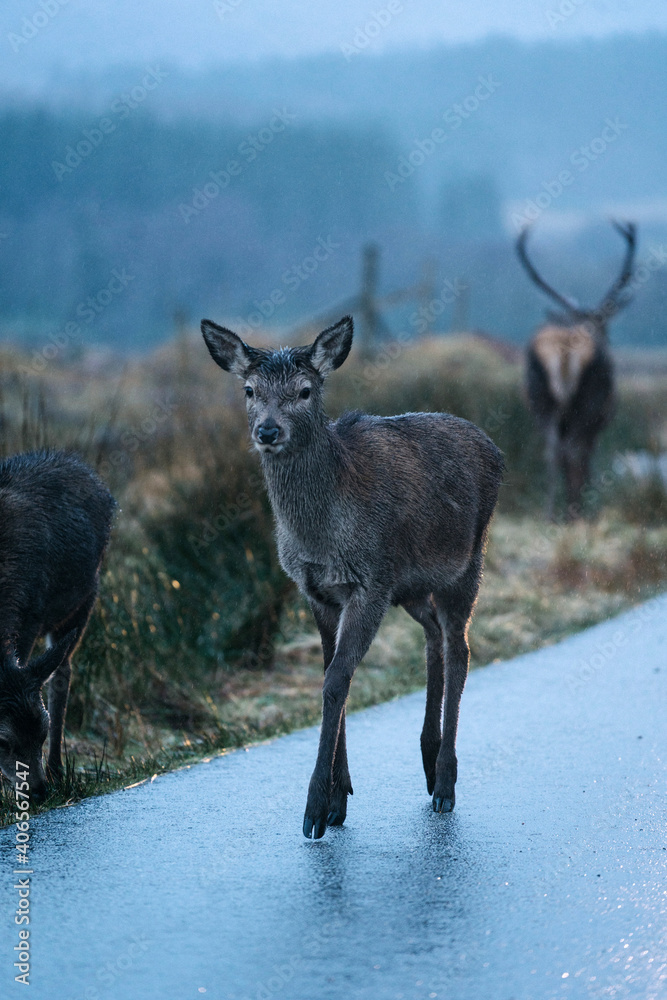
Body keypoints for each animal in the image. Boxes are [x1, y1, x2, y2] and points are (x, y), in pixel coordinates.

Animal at [0, 454, 116, 804]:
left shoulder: (30, 618)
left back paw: (57, 769)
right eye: (3, 741)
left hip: (85, 597)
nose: (38, 791)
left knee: (62, 672)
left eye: (41, 730)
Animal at [201, 316, 504, 840]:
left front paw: (313, 809)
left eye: (305, 390)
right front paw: (337, 800)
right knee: (435, 637)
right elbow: (329, 674)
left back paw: (446, 783)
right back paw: (427, 760)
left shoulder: (370, 582)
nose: (267, 430)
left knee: (461, 649)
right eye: (249, 389)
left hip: (466, 564)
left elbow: (337, 679)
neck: (321, 535)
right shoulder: (318, 591)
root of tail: (496, 449)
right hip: (412, 587)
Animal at [516, 222, 636, 520]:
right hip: (588, 402)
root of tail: (564, 347)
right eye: (606, 328)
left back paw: (550, 514)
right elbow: (587, 460)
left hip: (540, 398)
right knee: (572, 451)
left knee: (552, 451)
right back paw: (577, 513)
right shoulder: (599, 422)